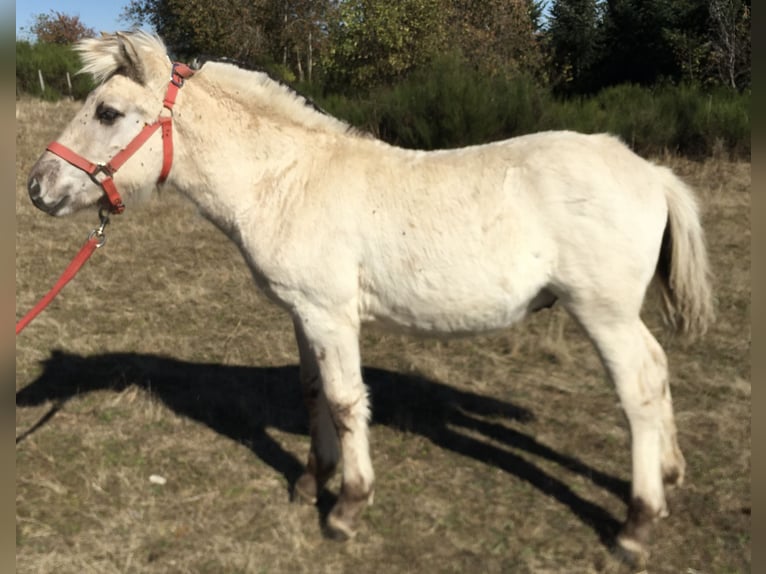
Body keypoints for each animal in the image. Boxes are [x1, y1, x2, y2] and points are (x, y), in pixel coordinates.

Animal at [26, 31, 713, 564]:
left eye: (108, 112)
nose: (37, 186)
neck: (287, 179)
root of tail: (651, 173)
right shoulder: (304, 315)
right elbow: (313, 396)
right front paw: (311, 482)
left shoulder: (330, 316)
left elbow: (346, 401)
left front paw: (347, 507)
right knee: (659, 371)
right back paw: (672, 474)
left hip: (603, 313)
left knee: (639, 390)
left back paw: (637, 523)